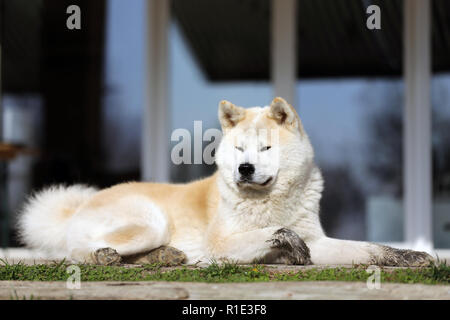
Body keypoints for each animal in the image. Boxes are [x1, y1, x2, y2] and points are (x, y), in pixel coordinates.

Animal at [16, 98, 432, 268]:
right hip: (151, 222)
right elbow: (274, 233)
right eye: (239, 148)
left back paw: (164, 257)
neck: (269, 201)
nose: (245, 169)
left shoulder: (320, 242)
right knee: (74, 252)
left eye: (265, 147)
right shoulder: (220, 244)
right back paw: (105, 256)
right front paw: (283, 241)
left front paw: (411, 256)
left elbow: (371, 249)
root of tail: (79, 206)